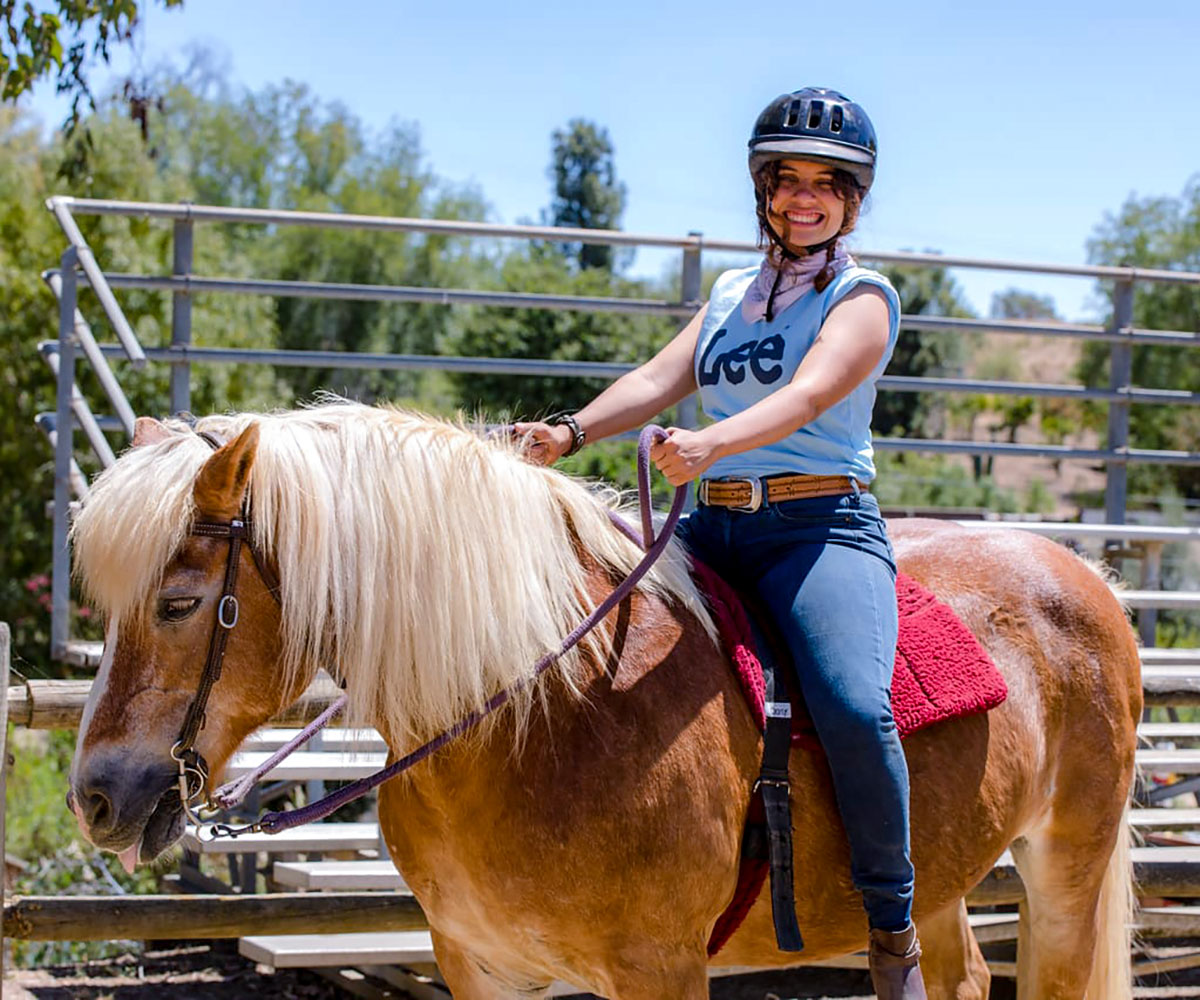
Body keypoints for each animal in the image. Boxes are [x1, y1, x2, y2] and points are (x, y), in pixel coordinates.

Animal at [70, 400, 1137, 993]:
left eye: (178, 602)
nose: (94, 797)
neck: (543, 713)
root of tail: (1080, 572)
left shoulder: (660, 971)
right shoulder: (478, 968)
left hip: (1067, 877)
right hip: (938, 882)